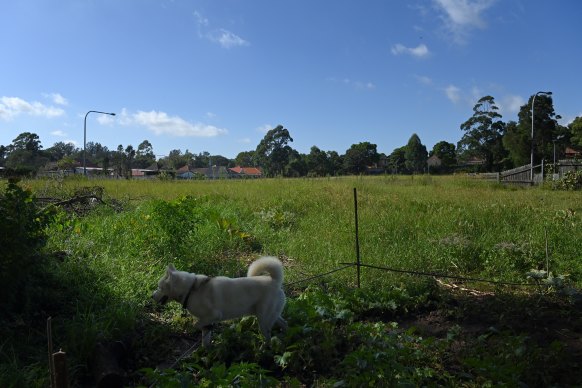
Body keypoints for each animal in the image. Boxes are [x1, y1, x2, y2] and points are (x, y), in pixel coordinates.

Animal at [152, 258, 286, 346]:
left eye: (159, 287)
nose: (151, 296)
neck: (191, 289)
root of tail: (274, 280)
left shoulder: (213, 315)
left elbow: (196, 325)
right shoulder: (207, 321)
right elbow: (205, 339)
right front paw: (205, 352)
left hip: (263, 320)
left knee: (268, 337)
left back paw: (264, 349)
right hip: (271, 316)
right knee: (284, 323)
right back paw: (286, 336)